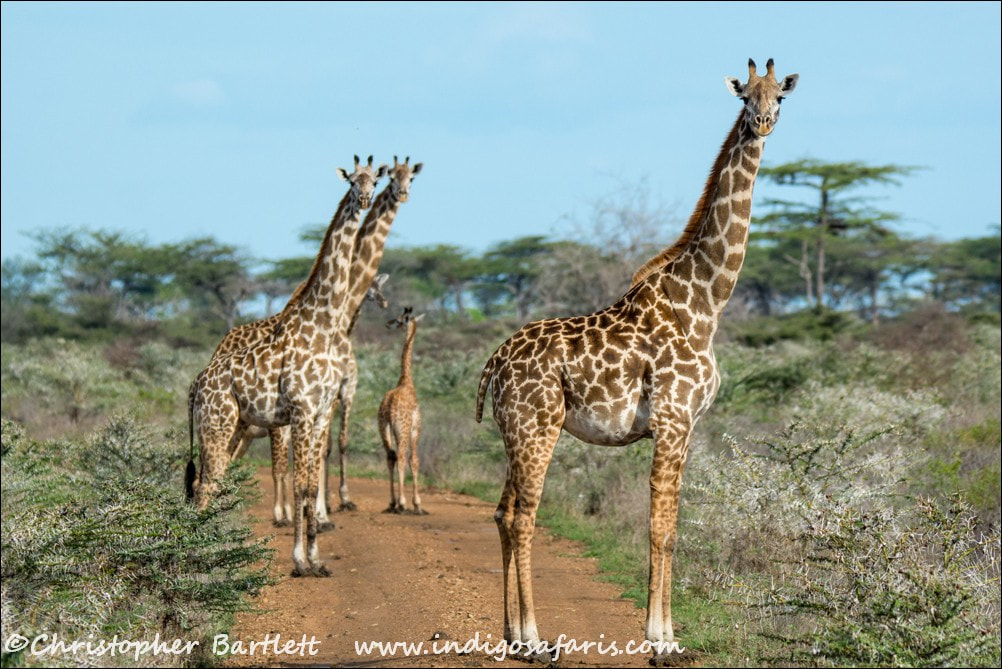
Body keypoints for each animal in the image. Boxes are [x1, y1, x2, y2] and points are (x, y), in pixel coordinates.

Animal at [188, 154, 387, 577]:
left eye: (374, 182)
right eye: (352, 181)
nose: (364, 199)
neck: (323, 326)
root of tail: (196, 384)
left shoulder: (320, 412)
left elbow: (310, 486)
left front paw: (316, 559)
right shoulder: (300, 410)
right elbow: (298, 485)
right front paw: (298, 561)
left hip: (232, 427)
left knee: (209, 483)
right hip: (217, 424)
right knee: (206, 484)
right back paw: (204, 562)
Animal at [474, 59, 798, 645]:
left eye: (780, 96)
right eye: (745, 97)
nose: (763, 123)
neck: (705, 302)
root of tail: (496, 361)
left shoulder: (689, 426)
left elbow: (672, 527)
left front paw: (670, 632)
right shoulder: (671, 419)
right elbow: (659, 527)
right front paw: (657, 634)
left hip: (514, 433)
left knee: (501, 512)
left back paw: (511, 632)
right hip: (536, 428)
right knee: (523, 516)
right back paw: (531, 634)